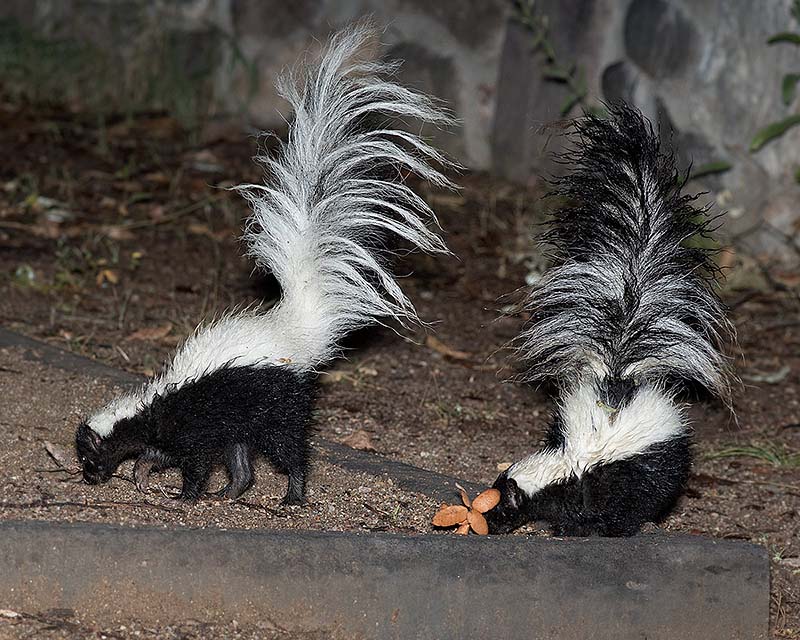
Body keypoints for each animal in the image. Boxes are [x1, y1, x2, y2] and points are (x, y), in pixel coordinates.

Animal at [79, 23, 460, 504]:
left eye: (91, 457)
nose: (89, 476)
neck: (151, 407)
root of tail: (299, 325)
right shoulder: (190, 428)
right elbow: (166, 453)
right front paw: (146, 472)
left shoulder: (193, 427)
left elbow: (195, 462)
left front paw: (184, 493)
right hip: (247, 418)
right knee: (244, 461)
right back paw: (231, 492)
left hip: (280, 406)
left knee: (290, 450)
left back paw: (292, 495)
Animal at [484, 105, 736, 536]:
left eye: (503, 508)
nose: (487, 520)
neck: (570, 465)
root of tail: (620, 375)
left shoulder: (614, 478)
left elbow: (613, 508)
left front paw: (586, 528)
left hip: (668, 455)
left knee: (662, 489)